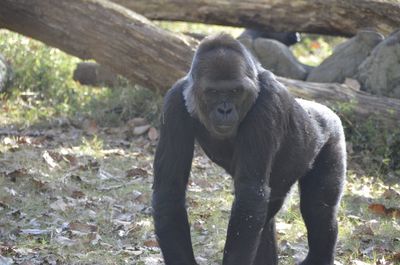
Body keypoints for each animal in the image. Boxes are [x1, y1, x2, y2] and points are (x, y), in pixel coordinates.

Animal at [152, 33, 346, 264]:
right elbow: (169, 191)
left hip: (332, 136)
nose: (225, 110)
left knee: (318, 210)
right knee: (268, 218)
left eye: (235, 91)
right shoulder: (173, 102)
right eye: (213, 92)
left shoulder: (267, 102)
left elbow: (249, 196)